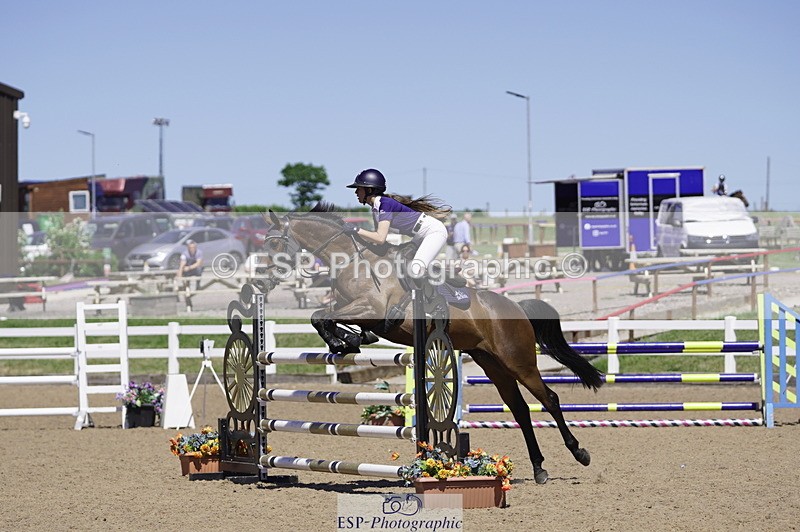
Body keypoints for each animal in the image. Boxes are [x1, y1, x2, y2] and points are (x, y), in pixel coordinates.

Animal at [266, 204, 604, 484]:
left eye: (274, 243)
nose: (265, 282)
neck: (352, 260)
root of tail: (517, 308)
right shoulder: (351, 308)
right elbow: (320, 317)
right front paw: (347, 341)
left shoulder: (371, 308)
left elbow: (321, 316)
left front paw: (345, 340)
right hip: (492, 363)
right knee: (520, 409)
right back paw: (538, 468)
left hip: (518, 361)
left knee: (550, 399)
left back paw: (580, 453)